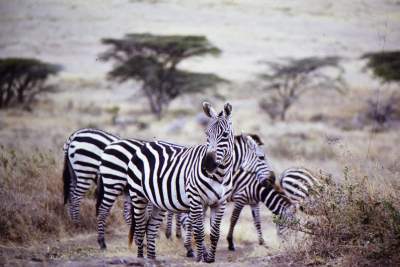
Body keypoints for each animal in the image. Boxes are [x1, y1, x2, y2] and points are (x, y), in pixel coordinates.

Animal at [126, 102, 234, 264]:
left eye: (225, 135)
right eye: (206, 134)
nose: (207, 165)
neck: (220, 175)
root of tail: (145, 145)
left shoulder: (220, 203)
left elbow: (215, 233)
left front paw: (210, 259)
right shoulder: (196, 200)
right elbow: (199, 231)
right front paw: (200, 259)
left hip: (158, 202)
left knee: (150, 229)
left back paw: (152, 259)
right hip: (138, 196)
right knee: (140, 229)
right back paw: (141, 259)